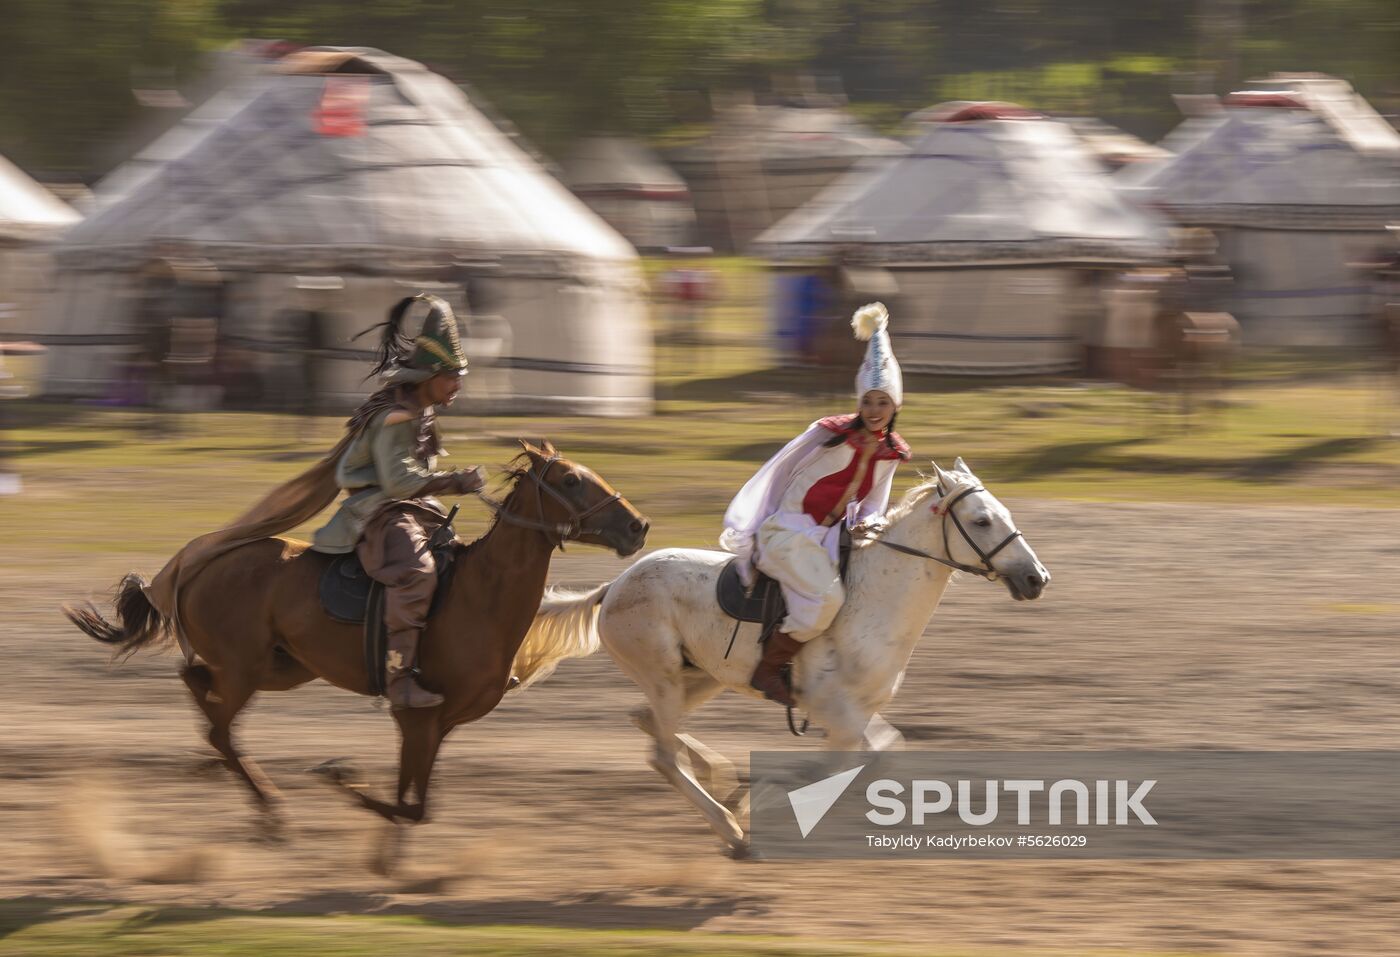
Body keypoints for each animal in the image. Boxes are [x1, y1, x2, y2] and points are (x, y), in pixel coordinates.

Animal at [68, 442, 646, 845]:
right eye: (571, 480)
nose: (638, 526)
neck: (479, 594)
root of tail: (195, 566)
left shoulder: (437, 724)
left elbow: (416, 803)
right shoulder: (415, 714)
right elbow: (409, 804)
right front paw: (338, 775)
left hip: (280, 668)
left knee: (197, 686)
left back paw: (217, 768)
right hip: (246, 669)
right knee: (216, 722)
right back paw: (268, 806)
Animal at [520, 458, 1047, 856]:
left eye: (1001, 512)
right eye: (981, 520)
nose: (1036, 578)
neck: (874, 600)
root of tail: (612, 588)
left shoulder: (855, 714)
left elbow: (877, 757)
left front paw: (749, 796)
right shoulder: (835, 712)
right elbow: (835, 769)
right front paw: (756, 804)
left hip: (703, 679)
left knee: (645, 720)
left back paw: (720, 778)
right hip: (666, 677)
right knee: (663, 755)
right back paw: (730, 829)